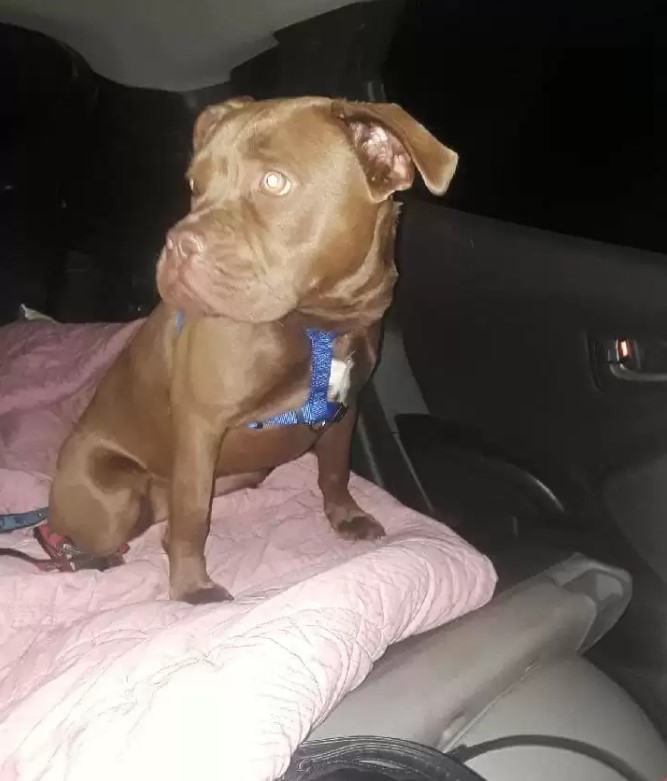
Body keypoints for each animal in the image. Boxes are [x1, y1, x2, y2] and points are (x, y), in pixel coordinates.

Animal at [48, 94, 460, 600]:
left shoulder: (346, 407)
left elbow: (335, 470)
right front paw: (192, 589)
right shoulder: (202, 426)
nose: (176, 244)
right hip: (113, 496)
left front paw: (346, 517)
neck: (320, 323)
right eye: (195, 184)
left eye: (273, 182)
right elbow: (192, 517)